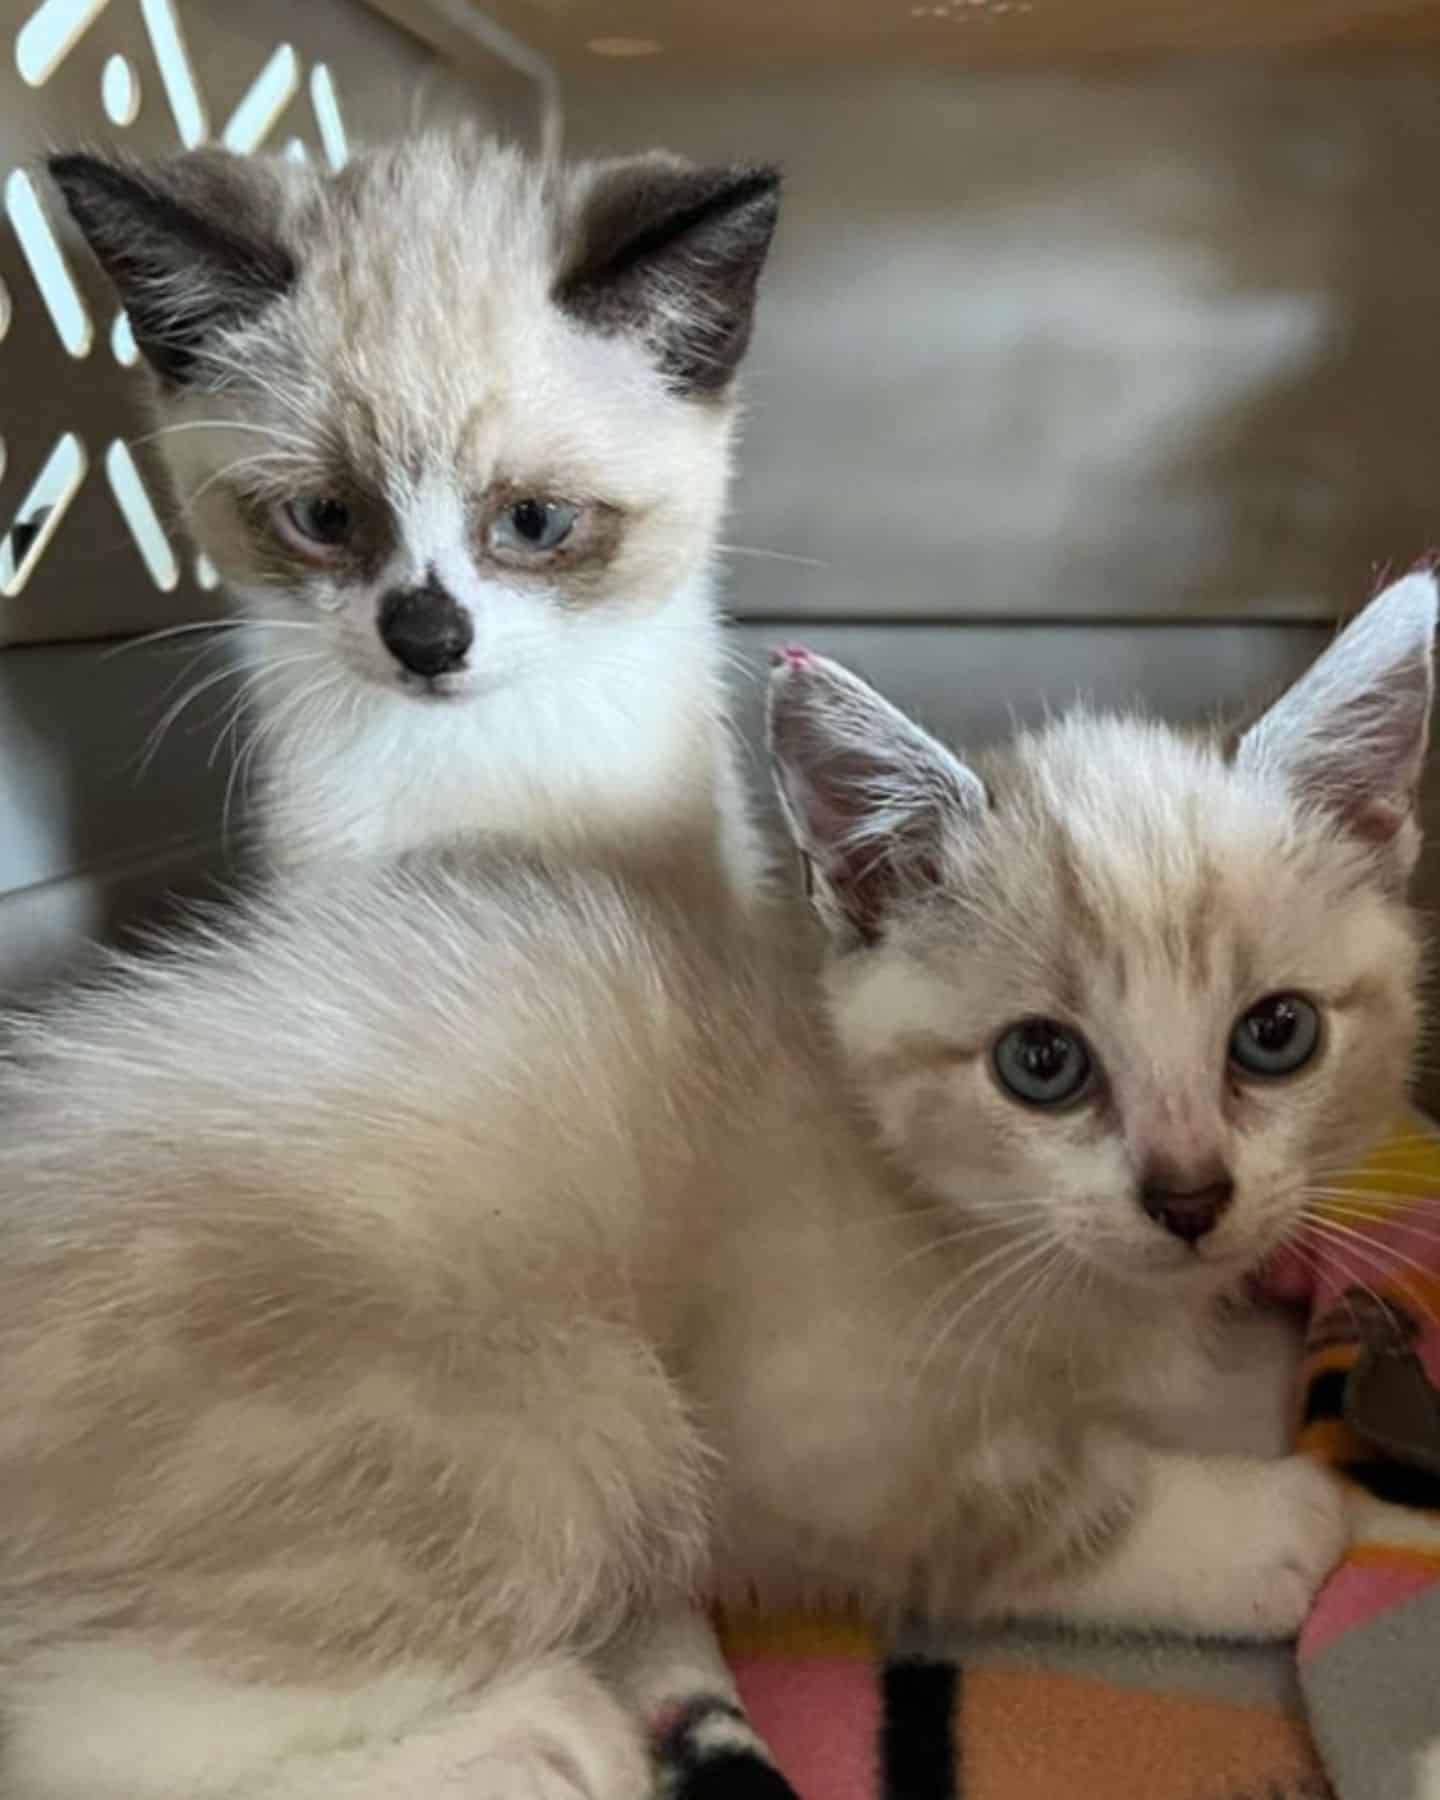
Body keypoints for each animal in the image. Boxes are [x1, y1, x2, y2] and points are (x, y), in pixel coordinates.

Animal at [0, 576, 1425, 1800]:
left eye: (1276, 1034)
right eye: (1042, 1063)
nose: (1188, 1197)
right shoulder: (806, 1428)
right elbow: (1028, 1502)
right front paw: (1263, 1525)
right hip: (560, 1418)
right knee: (77, 1740)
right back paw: (548, 1734)